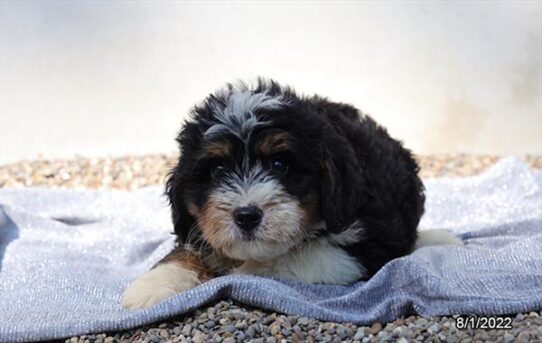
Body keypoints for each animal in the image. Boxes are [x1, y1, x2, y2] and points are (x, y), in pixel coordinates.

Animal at [121, 79, 462, 310]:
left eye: (280, 164)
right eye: (217, 169)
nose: (246, 216)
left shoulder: (367, 244)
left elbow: (295, 258)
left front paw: (243, 272)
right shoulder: (195, 230)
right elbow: (183, 253)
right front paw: (150, 286)